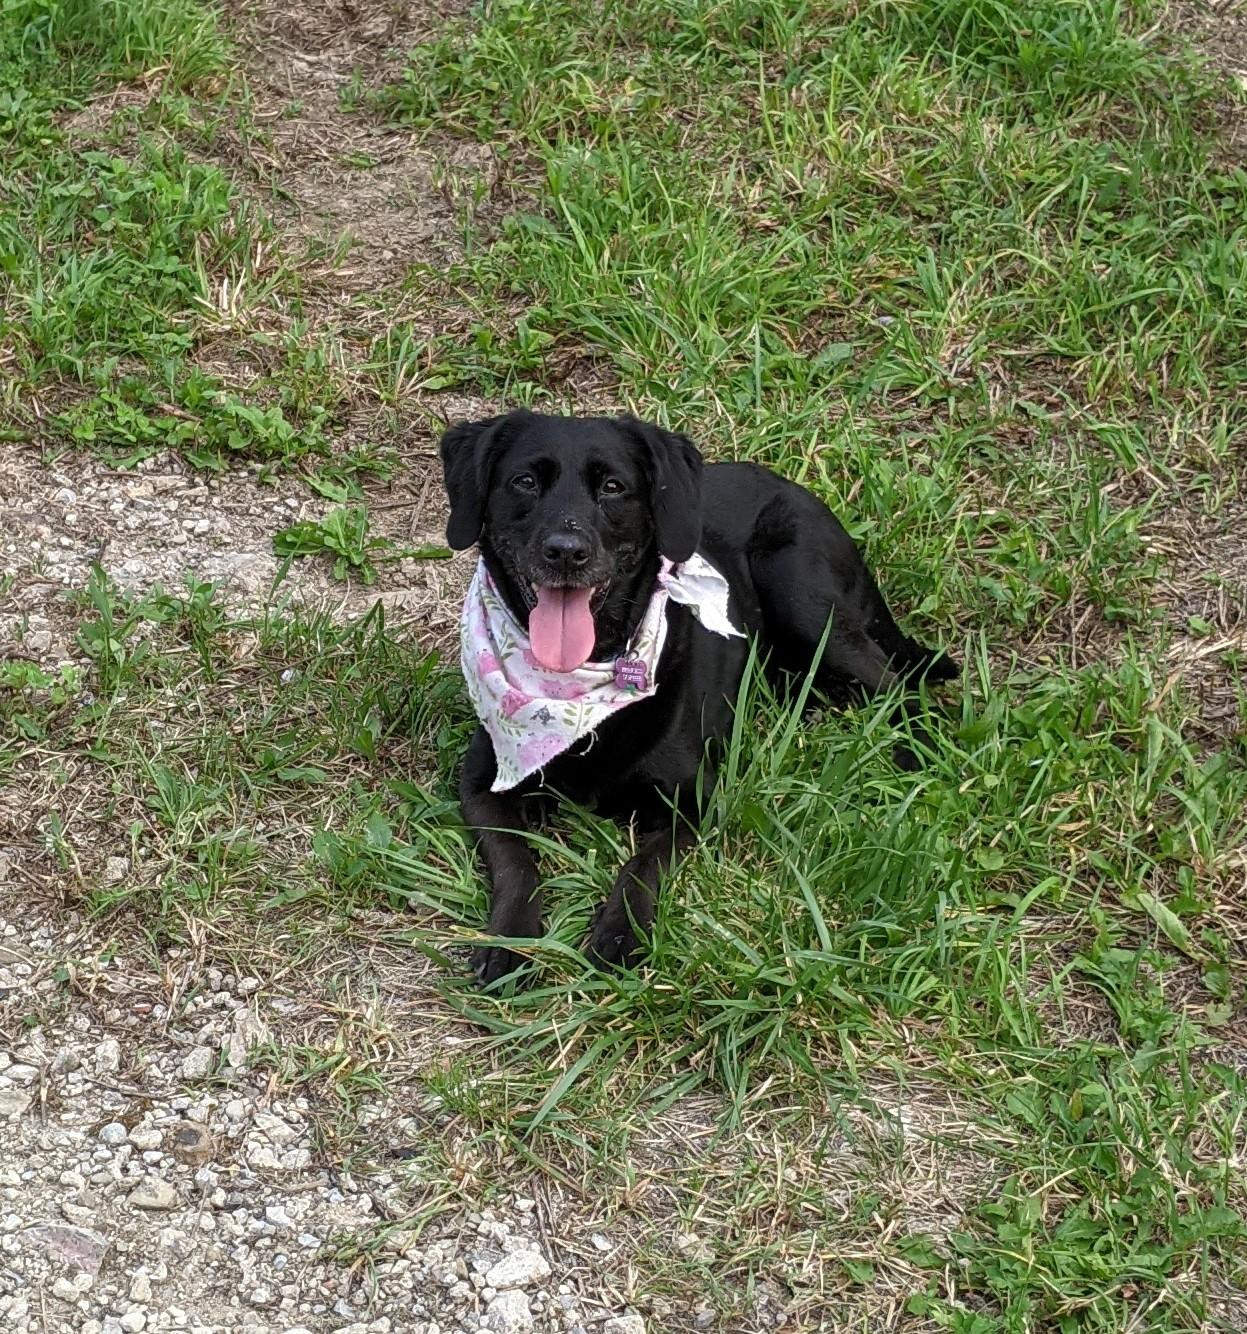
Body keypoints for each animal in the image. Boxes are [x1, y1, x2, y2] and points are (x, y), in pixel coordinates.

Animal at [440, 410, 954, 987]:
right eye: (525, 481)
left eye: (613, 487)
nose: (566, 552)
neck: (583, 686)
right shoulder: (481, 786)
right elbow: (515, 861)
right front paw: (509, 940)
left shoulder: (694, 801)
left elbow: (642, 867)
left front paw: (619, 934)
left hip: (801, 595)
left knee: (898, 683)